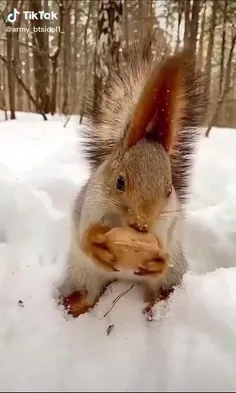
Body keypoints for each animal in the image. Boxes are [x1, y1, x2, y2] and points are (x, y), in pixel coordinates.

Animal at [60, 32, 206, 316]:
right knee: (89, 293)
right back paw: (73, 304)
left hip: (173, 276)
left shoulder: (167, 225)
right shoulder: (91, 205)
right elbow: (85, 237)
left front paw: (157, 260)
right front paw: (97, 246)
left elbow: (163, 250)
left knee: (161, 289)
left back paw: (158, 308)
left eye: (169, 190)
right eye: (120, 182)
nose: (142, 223)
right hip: (84, 273)